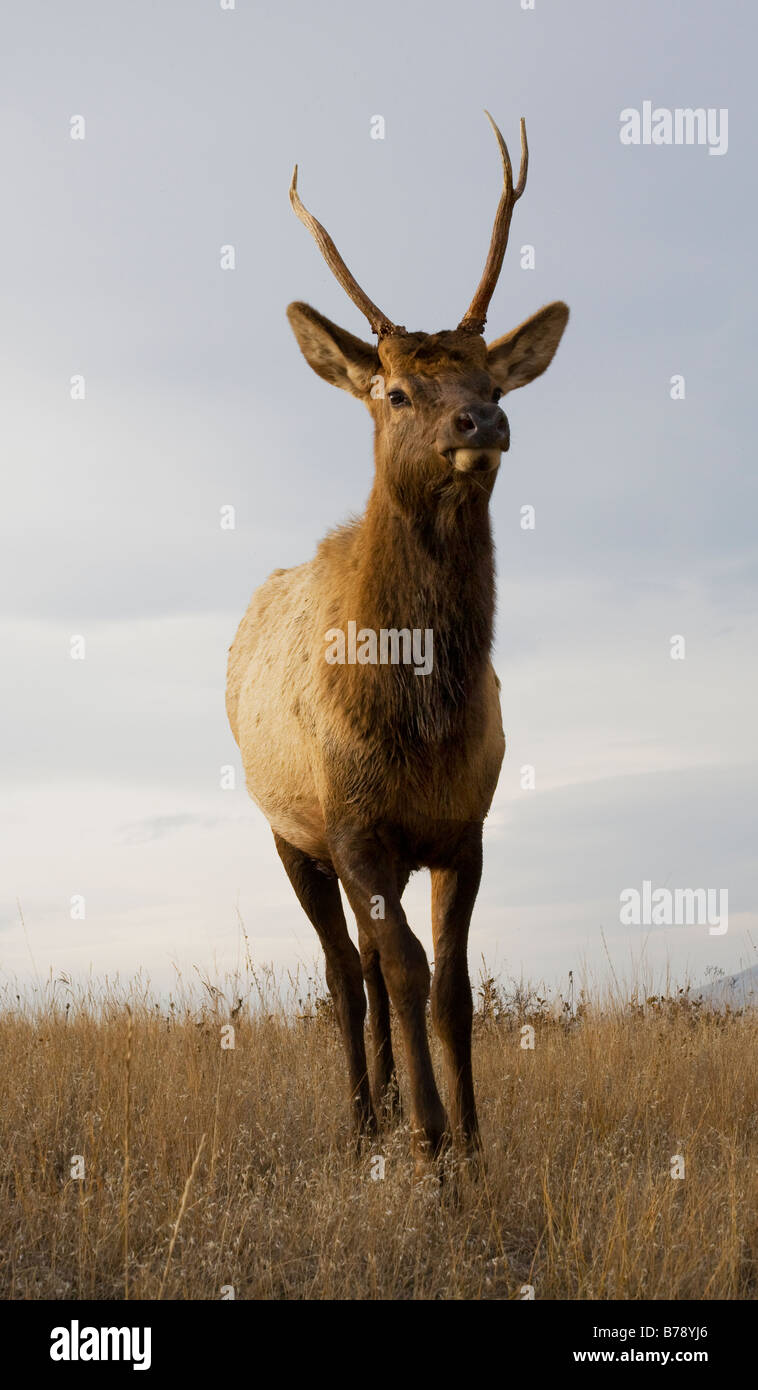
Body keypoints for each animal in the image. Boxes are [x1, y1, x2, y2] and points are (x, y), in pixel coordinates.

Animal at [226, 116, 567, 1173]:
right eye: (396, 390)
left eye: (490, 374)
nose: (483, 418)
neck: (415, 721)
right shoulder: (354, 825)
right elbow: (407, 970)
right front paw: (427, 1141)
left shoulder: (465, 826)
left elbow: (451, 980)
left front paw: (473, 1140)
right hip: (290, 832)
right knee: (346, 969)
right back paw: (362, 1115)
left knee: (371, 966)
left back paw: (380, 1102)